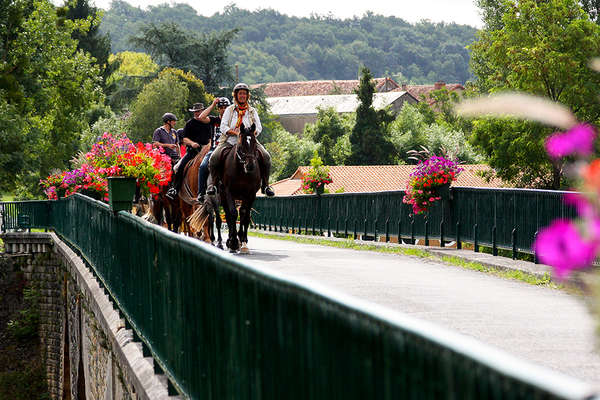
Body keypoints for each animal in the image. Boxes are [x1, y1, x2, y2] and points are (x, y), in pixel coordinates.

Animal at [219, 122, 258, 253]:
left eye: (255, 143)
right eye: (241, 145)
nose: (250, 166)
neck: (241, 171)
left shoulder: (250, 194)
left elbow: (244, 213)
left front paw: (242, 240)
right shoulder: (228, 192)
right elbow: (232, 213)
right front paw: (233, 242)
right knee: (228, 215)